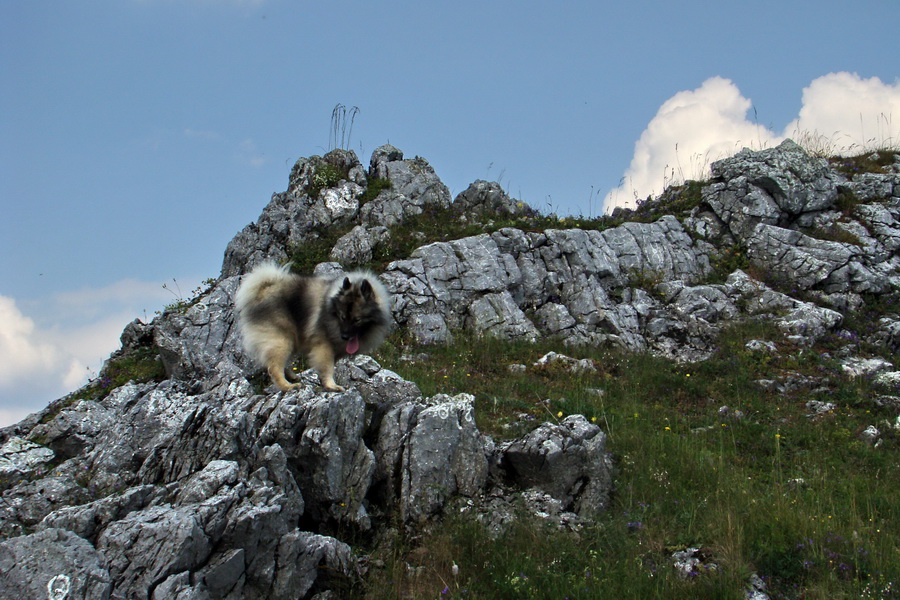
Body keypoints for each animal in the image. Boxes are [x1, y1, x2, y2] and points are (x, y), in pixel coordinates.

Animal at [237, 262, 392, 394]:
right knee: (274, 368)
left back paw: (292, 376)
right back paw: (288, 386)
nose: (344, 336)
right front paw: (331, 385)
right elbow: (327, 367)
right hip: (281, 340)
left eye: (357, 320)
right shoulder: (323, 346)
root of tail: (264, 289)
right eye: (342, 317)